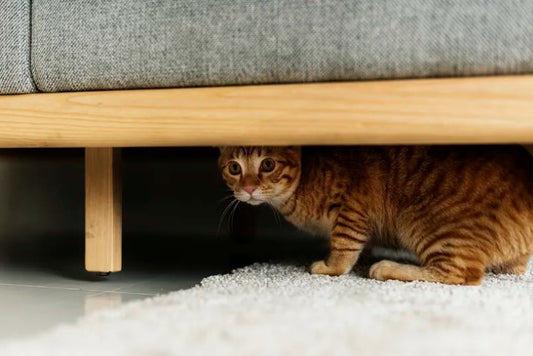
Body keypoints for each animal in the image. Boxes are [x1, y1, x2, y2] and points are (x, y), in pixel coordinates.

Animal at [217, 145, 532, 284]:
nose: (249, 188)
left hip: (426, 224)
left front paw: (330, 267)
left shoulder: (351, 209)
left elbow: (343, 248)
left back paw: (389, 268)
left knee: (459, 274)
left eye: (267, 164)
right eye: (234, 168)